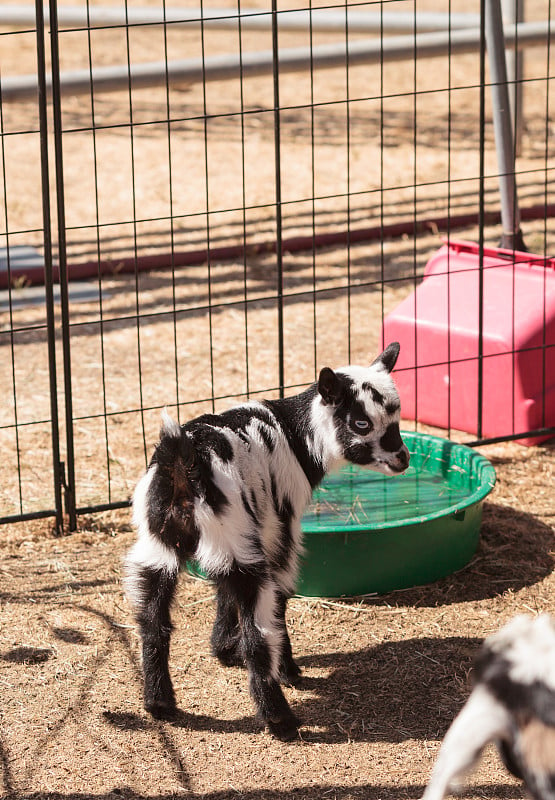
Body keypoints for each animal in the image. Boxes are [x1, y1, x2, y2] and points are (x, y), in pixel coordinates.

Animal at [127, 340, 412, 740]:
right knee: (258, 634)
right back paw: (281, 719)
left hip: (159, 549)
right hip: (238, 543)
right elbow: (280, 599)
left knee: (153, 622)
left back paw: (160, 704)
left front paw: (222, 650)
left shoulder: (239, 544)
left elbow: (223, 594)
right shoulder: (279, 531)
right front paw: (290, 671)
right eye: (361, 423)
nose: (402, 459)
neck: (295, 435)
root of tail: (184, 464)